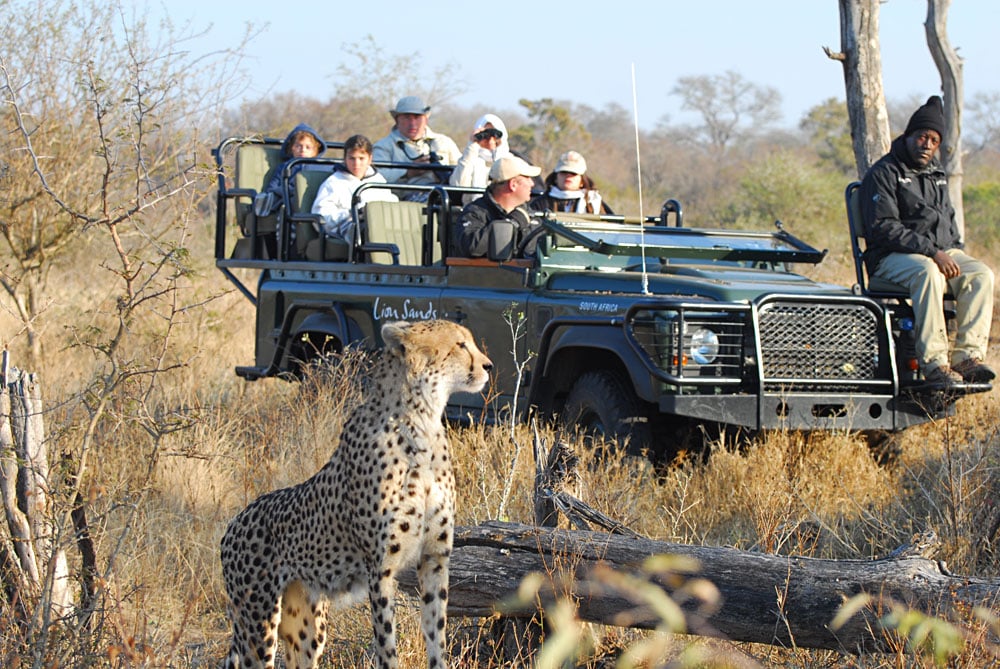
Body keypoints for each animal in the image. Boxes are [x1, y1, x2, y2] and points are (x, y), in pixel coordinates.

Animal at [220, 319, 493, 669]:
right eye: (460, 344)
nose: (488, 366)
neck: (421, 420)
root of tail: (235, 521)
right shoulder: (381, 569)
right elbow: (387, 643)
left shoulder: (434, 558)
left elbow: (436, 634)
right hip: (258, 622)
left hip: (307, 626)